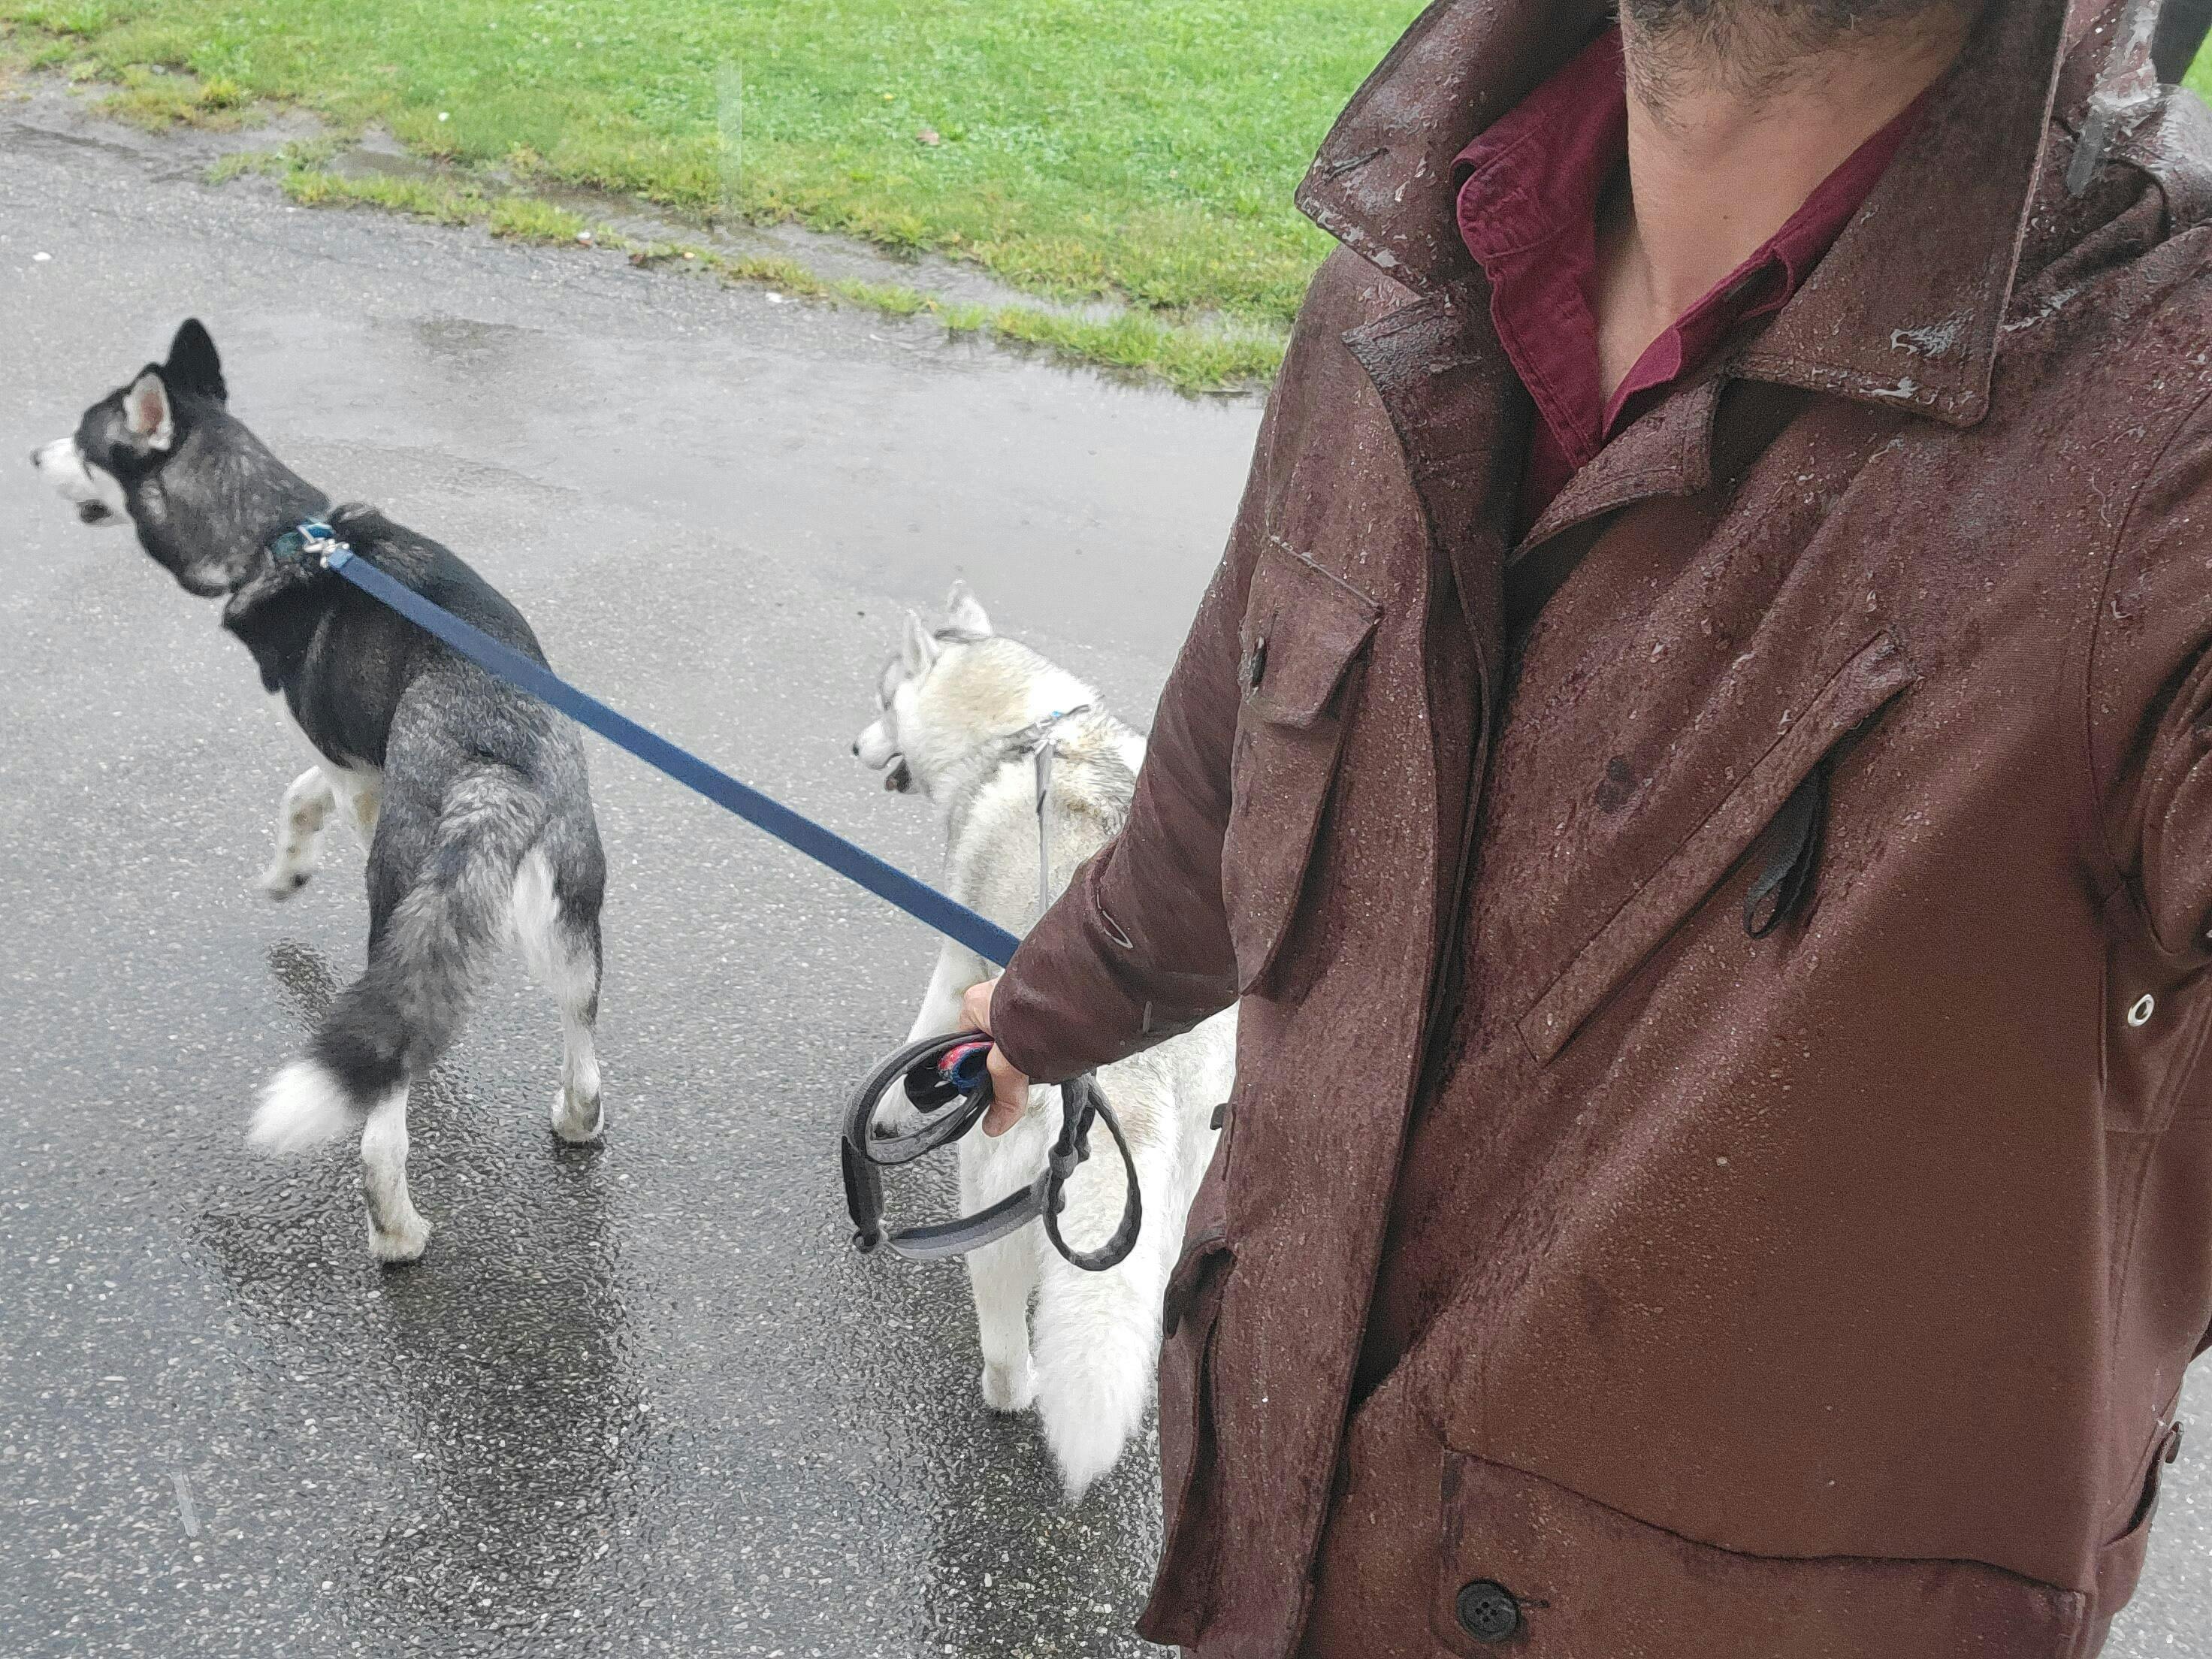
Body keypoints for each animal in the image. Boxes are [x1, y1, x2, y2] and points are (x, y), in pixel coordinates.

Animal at [33, 320, 608, 1262]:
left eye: (83, 442)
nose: (33, 454)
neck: (275, 530)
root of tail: (494, 759)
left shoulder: (348, 766)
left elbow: (300, 795)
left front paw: (286, 872)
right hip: (571, 924)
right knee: (583, 1048)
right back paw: (575, 1120)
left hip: (405, 897)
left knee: (381, 1122)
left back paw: (396, 1233)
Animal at [854, 583, 1234, 1500]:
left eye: (883, 702)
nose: (854, 744)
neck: (1022, 732)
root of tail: (1124, 1077)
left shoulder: (958, 960)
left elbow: (921, 1032)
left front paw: (888, 1112)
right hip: (1181, 1186)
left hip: (988, 1193)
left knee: (1002, 1335)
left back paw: (1010, 1390)